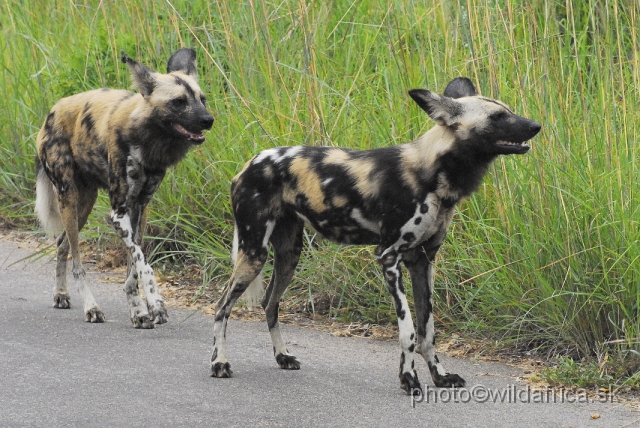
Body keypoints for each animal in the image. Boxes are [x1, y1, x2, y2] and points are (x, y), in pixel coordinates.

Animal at [35, 47, 214, 328]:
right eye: (178, 102)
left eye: (202, 99)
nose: (209, 120)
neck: (149, 141)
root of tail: (52, 112)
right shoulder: (118, 213)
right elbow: (143, 263)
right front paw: (151, 301)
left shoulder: (139, 207)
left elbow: (134, 266)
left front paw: (141, 309)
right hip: (68, 197)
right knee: (77, 261)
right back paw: (91, 307)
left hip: (83, 205)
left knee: (62, 244)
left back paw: (61, 294)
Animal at [210, 76, 540, 394]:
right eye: (497, 116)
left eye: (508, 110)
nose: (536, 126)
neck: (435, 174)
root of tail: (250, 163)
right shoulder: (388, 257)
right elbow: (408, 331)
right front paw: (409, 379)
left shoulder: (423, 261)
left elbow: (428, 331)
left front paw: (440, 376)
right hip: (255, 253)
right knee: (221, 305)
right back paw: (219, 363)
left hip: (290, 255)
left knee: (269, 303)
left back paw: (282, 356)